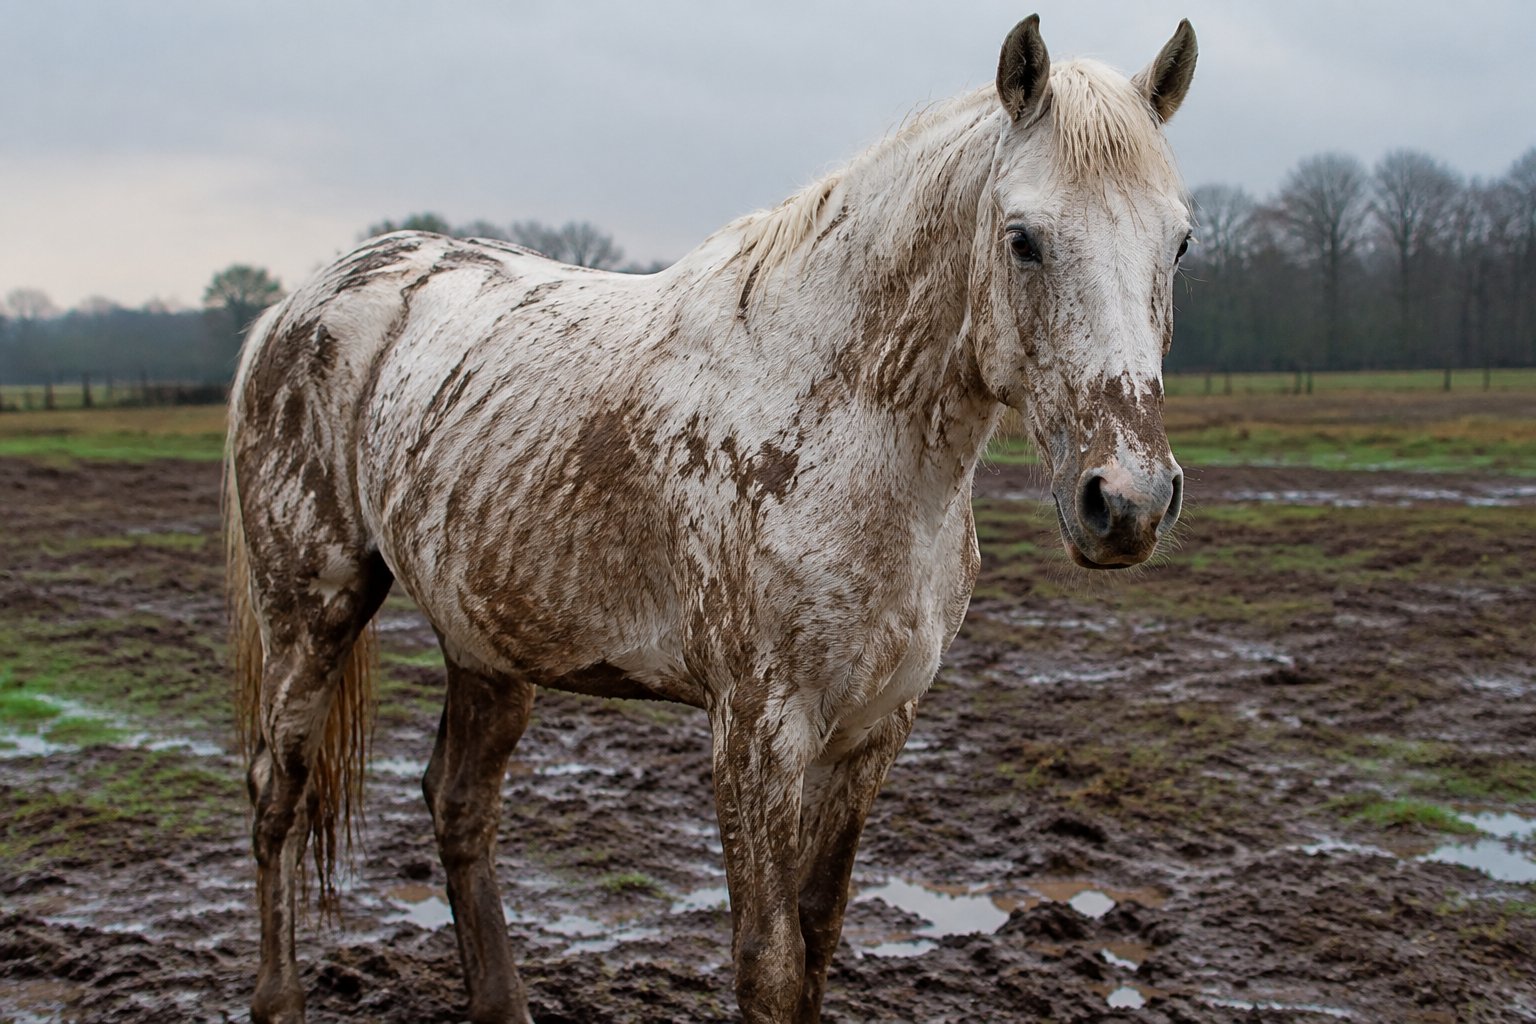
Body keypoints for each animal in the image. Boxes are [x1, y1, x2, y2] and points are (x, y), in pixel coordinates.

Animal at [225, 14, 1197, 1023]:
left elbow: (817, 942)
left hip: (485, 642)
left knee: (458, 807)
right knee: (276, 791)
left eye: (1179, 245)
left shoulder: (873, 734)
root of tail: (294, 308)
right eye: (1023, 239)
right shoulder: (758, 733)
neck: (837, 418)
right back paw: (279, 999)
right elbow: (768, 965)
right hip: (313, 608)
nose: (1126, 500)